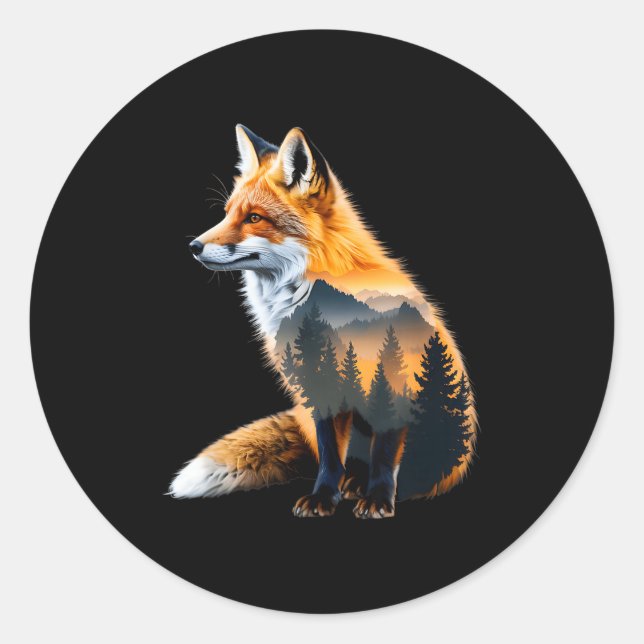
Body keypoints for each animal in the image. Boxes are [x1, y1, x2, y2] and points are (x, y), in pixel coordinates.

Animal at [169, 125, 477, 518]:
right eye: (226, 214)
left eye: (253, 218)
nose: (193, 246)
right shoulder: (319, 385)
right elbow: (331, 456)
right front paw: (322, 497)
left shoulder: (395, 377)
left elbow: (384, 454)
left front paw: (378, 499)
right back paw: (351, 484)